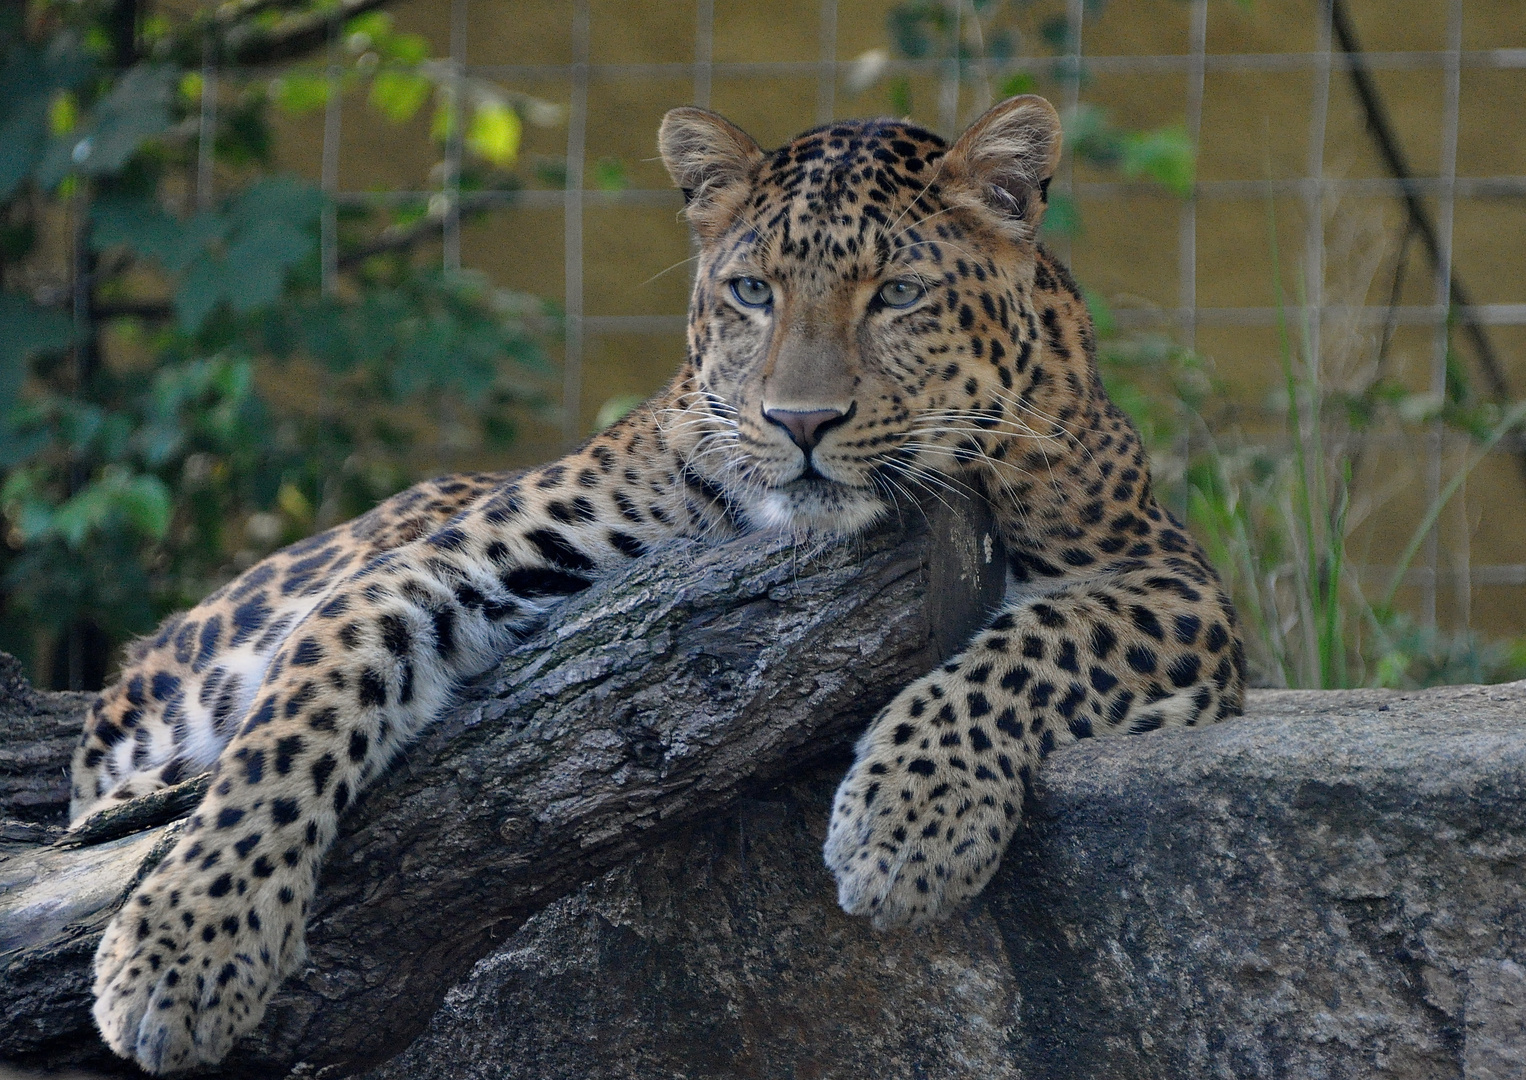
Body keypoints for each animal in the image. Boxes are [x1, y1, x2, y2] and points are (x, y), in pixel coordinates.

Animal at [74, 96, 1239, 1073]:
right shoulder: (446, 563)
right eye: (752, 291)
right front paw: (183, 953)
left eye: (899, 295)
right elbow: (298, 721)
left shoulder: (1174, 584)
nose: (800, 423)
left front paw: (909, 828)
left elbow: (1017, 656)